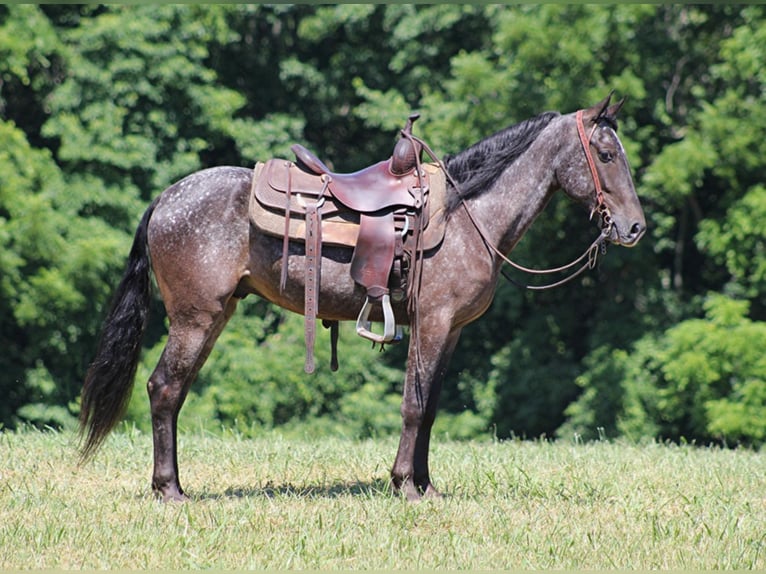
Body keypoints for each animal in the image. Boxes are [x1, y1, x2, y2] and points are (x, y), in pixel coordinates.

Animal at [79, 92, 648, 502]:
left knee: (172, 391)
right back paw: (170, 491)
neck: (465, 215)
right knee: (164, 389)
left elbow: (431, 406)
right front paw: (404, 486)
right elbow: (414, 406)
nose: (634, 228)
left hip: (213, 316)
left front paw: (425, 485)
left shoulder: (451, 331)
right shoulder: (434, 323)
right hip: (196, 317)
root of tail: (166, 198)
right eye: (605, 154)